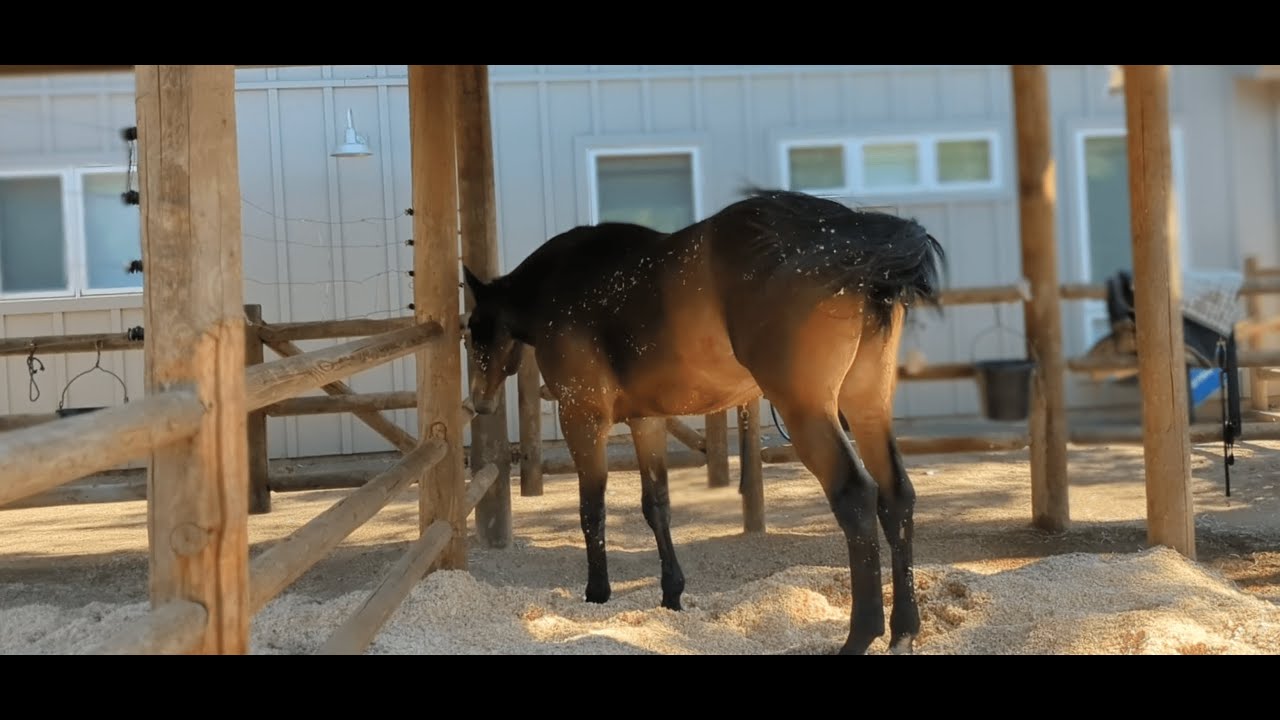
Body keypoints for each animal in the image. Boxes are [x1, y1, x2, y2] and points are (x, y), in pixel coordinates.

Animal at [461, 188, 945, 655]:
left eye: (471, 332)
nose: (478, 403)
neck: (559, 284)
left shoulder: (582, 418)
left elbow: (592, 509)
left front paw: (597, 592)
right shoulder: (647, 421)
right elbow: (656, 506)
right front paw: (671, 594)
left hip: (808, 411)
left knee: (857, 497)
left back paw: (860, 635)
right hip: (866, 406)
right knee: (896, 498)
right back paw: (903, 633)